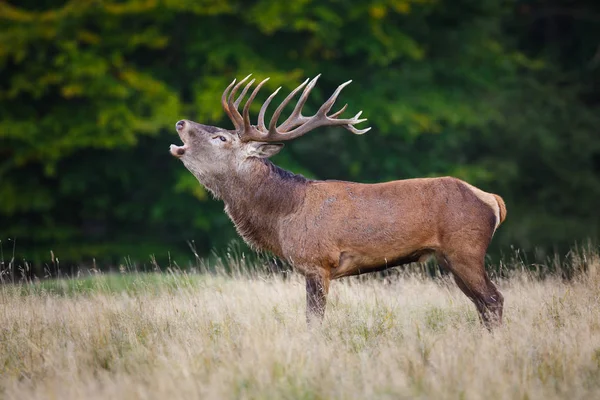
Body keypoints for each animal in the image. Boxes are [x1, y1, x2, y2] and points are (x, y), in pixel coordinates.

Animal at [170, 73, 506, 330]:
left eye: (222, 138)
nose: (181, 122)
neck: (282, 215)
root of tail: (493, 200)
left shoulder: (317, 262)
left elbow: (314, 321)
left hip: (465, 249)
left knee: (493, 300)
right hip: (448, 257)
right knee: (481, 304)